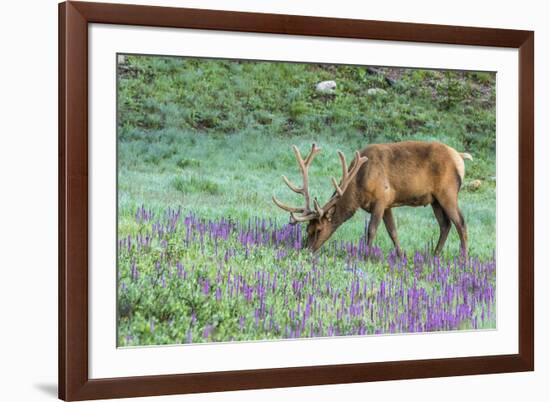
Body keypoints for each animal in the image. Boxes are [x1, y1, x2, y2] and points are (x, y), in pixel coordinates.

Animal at [274, 141, 474, 258]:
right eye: (307, 229)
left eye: (319, 229)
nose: (306, 250)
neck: (358, 186)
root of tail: (460, 157)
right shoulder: (388, 204)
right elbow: (393, 231)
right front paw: (401, 255)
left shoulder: (381, 199)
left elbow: (371, 230)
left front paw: (366, 256)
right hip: (434, 200)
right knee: (445, 224)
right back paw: (434, 255)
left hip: (448, 192)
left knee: (461, 223)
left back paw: (463, 259)